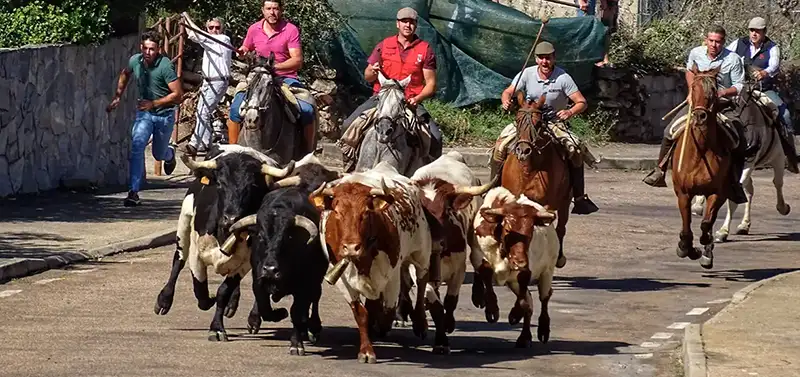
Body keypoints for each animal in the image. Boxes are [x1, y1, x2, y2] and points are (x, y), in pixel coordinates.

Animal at [153, 144, 294, 340]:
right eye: (220, 184)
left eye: (253, 186)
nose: (231, 218)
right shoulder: (197, 254)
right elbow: (201, 292)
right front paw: (210, 304)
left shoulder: (243, 261)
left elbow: (223, 292)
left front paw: (217, 327)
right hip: (184, 222)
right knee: (178, 259)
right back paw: (164, 300)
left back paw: (248, 315)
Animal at [234, 151, 340, 354]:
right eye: (260, 236)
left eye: (289, 237)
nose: (270, 270)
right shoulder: (258, 277)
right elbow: (264, 304)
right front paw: (270, 315)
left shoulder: (306, 283)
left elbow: (297, 312)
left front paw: (296, 343)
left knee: (315, 298)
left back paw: (313, 327)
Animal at [468, 185, 556, 346]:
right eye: (508, 229)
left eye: (530, 230)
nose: (519, 261)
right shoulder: (477, 256)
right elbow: (486, 272)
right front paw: (492, 309)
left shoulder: (527, 267)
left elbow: (524, 289)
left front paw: (515, 314)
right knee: (530, 300)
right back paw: (524, 336)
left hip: (548, 270)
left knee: (544, 297)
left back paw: (543, 329)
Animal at [672, 63, 736, 268]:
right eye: (693, 88)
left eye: (714, 90)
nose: (700, 116)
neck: (700, 152)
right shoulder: (683, 193)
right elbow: (686, 228)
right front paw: (686, 248)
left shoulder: (717, 193)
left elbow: (706, 224)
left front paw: (704, 247)